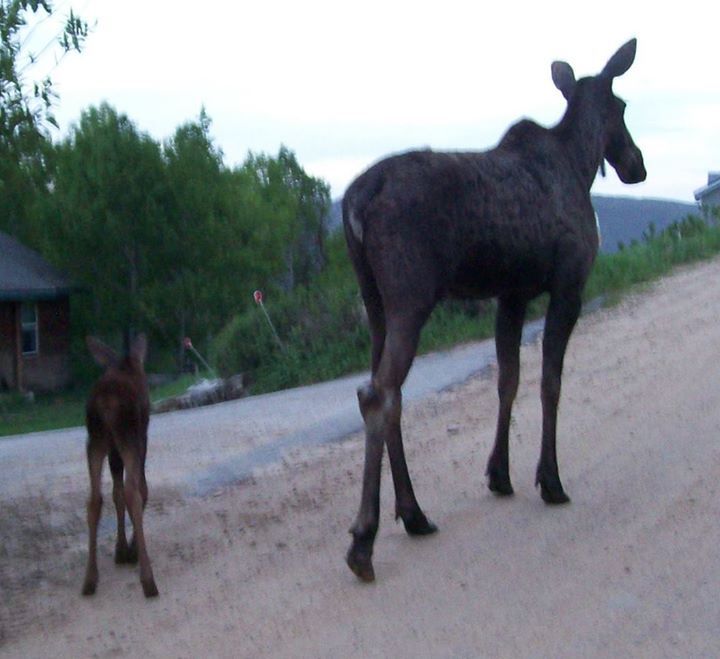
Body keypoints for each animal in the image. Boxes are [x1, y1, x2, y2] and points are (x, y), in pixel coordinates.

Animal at [82, 336, 160, 600]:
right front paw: (131, 548)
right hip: (128, 437)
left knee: (94, 498)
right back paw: (148, 580)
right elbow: (141, 490)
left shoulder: (113, 450)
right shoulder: (142, 437)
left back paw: (89, 579)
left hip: (95, 440)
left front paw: (120, 549)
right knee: (132, 492)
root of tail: (106, 401)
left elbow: (115, 494)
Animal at [344, 40, 648, 584]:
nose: (637, 165)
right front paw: (550, 480)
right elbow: (550, 381)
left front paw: (500, 474)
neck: (580, 163)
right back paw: (364, 539)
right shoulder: (568, 284)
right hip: (411, 297)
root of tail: (356, 202)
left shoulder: (512, 294)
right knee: (379, 393)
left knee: (382, 390)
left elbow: (508, 379)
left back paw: (414, 513)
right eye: (623, 106)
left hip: (376, 304)